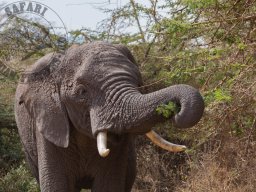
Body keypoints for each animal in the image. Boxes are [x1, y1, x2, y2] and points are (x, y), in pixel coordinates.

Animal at [15, 42, 204, 192]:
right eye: (82, 92)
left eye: (139, 84)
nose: (177, 109)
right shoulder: (50, 122)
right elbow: (57, 186)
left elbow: (109, 185)